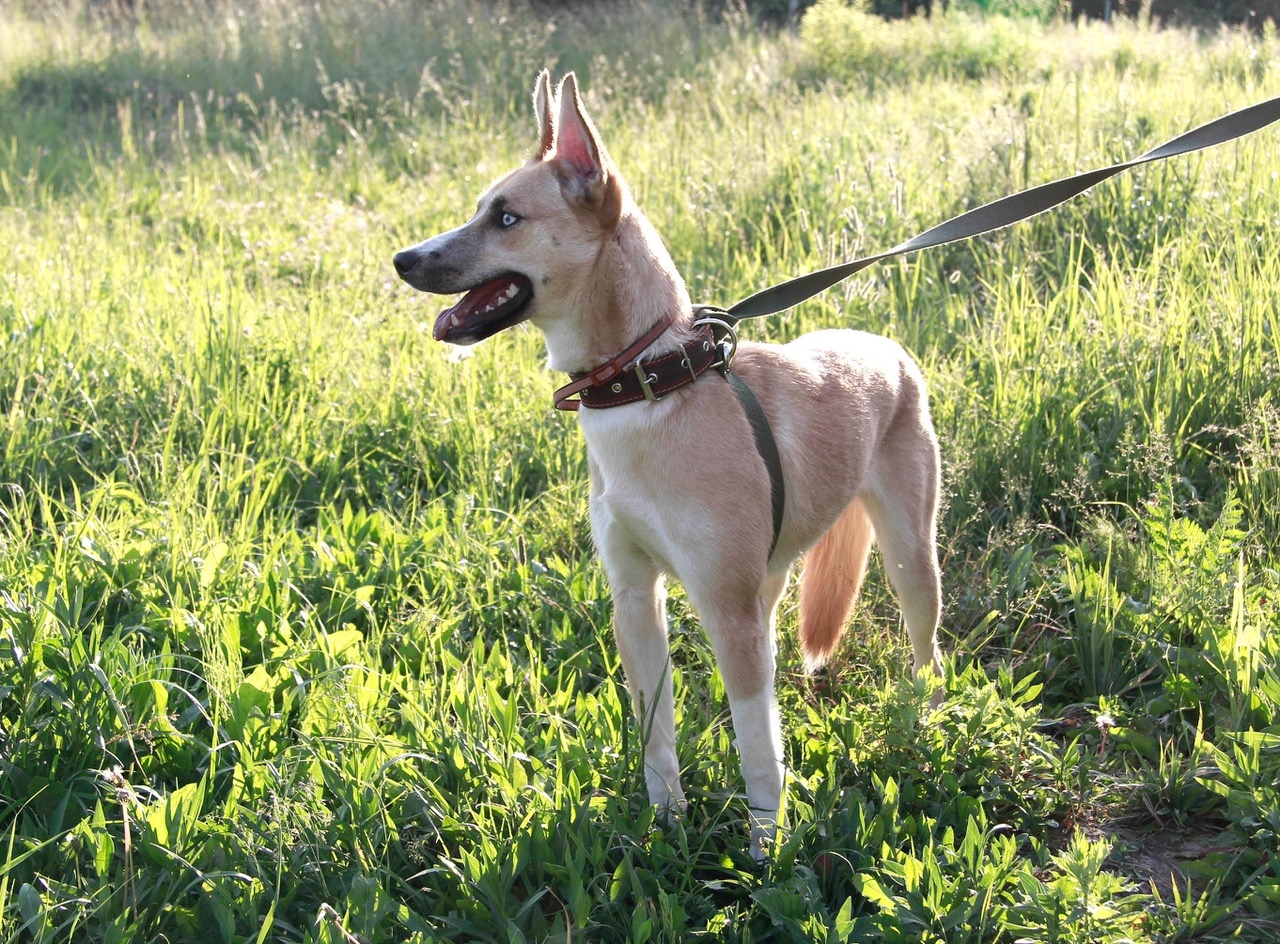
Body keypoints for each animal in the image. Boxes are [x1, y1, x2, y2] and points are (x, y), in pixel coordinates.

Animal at [394, 71, 947, 854]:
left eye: (506, 218)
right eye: (481, 210)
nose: (402, 260)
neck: (649, 384)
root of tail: (887, 346)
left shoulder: (726, 610)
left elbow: (758, 746)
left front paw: (765, 848)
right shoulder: (635, 597)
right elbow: (657, 732)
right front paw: (665, 825)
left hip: (908, 559)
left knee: (926, 648)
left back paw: (924, 718)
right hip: (769, 576)